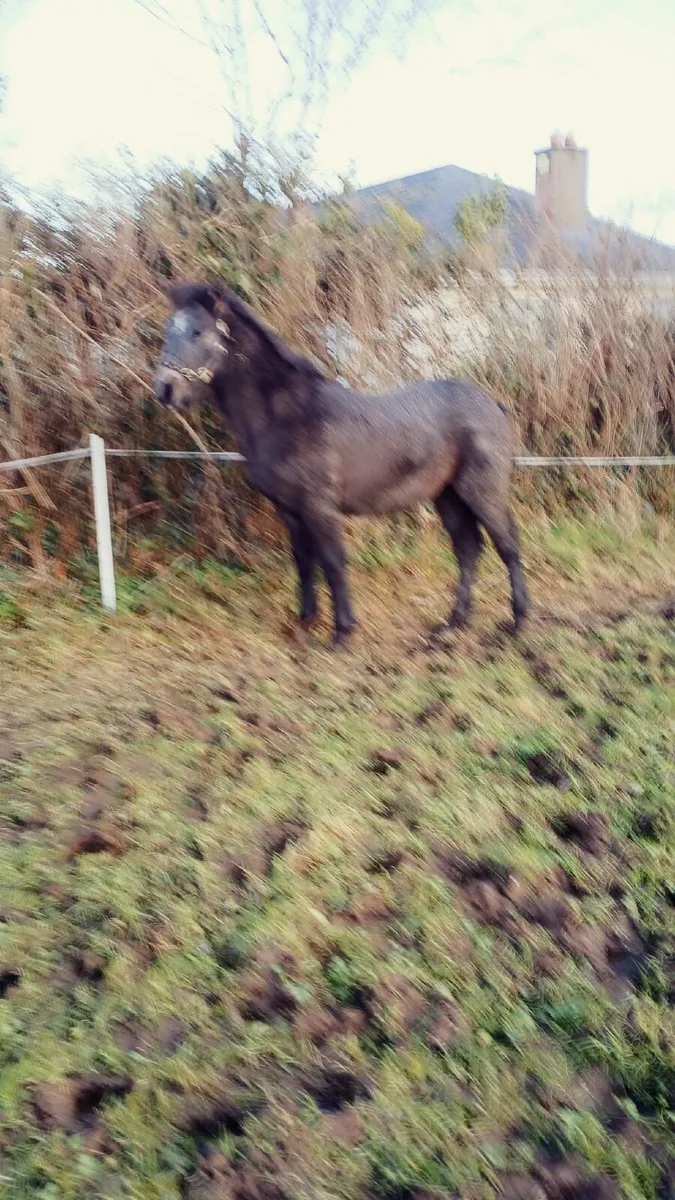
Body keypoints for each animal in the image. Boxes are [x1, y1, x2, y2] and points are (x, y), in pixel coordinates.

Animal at [154, 281, 528, 646]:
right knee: (468, 550)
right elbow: (304, 562)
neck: (287, 416)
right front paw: (305, 625)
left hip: (481, 491)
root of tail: (491, 404)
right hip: (448, 496)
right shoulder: (289, 510)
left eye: (197, 332)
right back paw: (452, 624)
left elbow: (333, 563)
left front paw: (342, 633)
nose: (165, 390)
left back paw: (517, 623)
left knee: (507, 545)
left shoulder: (320, 507)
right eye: (168, 329)